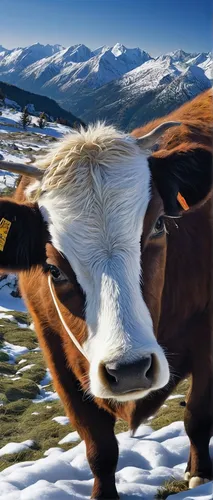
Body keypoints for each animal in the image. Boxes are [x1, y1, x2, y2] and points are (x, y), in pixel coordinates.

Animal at [0, 88, 211, 498]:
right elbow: (98, 444)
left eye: (159, 224)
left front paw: (199, 475)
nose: (129, 371)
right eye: (52, 267)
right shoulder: (56, 353)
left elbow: (197, 415)